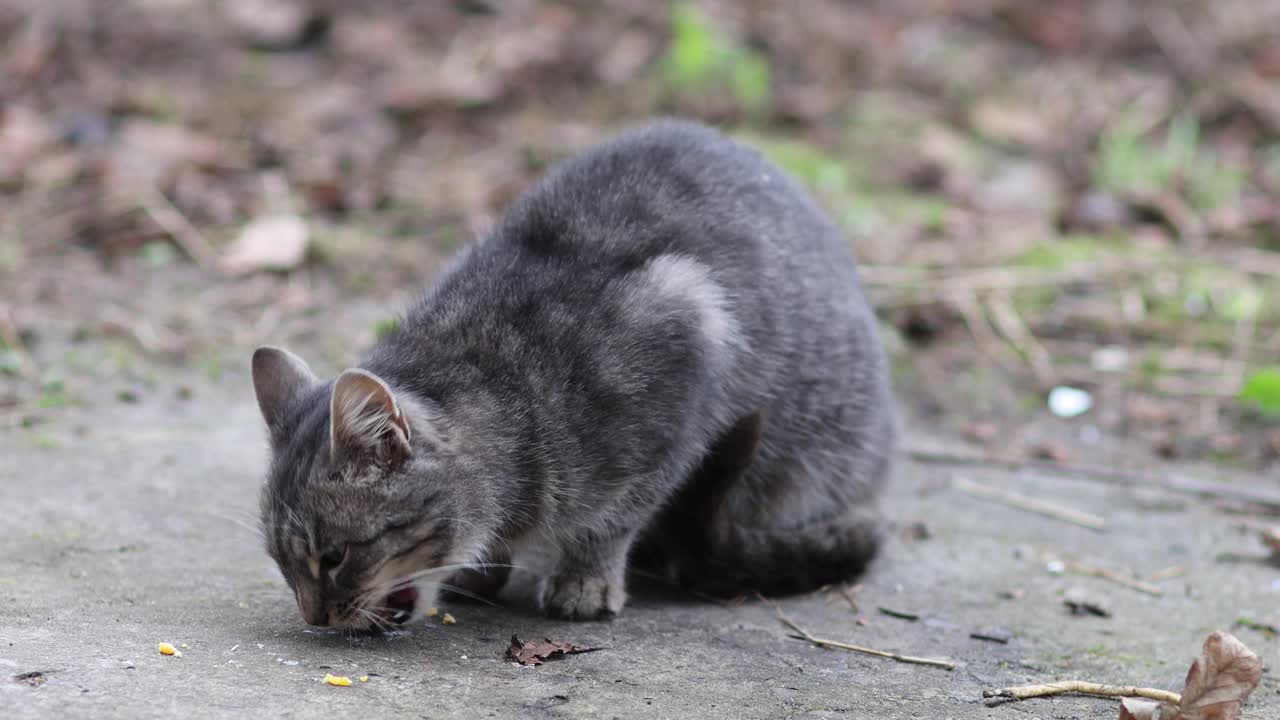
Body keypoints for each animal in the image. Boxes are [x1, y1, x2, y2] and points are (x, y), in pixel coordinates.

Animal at [249, 119, 890, 627]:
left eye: (333, 557)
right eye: (280, 562)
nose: (315, 618)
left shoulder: (679, 368)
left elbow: (611, 521)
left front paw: (584, 581)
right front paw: (483, 569)